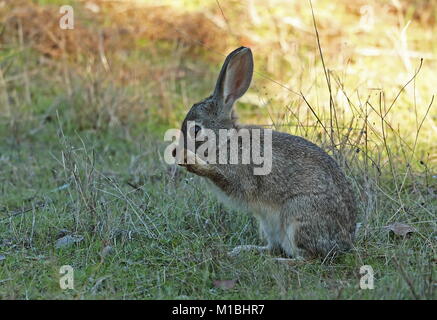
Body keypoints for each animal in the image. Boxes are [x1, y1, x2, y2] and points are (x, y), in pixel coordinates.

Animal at [175, 46, 356, 258]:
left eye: (195, 130)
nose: (177, 151)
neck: (225, 142)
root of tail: (345, 241)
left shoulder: (241, 176)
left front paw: (193, 162)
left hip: (298, 215)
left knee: (307, 257)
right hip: (269, 224)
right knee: (274, 247)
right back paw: (244, 250)